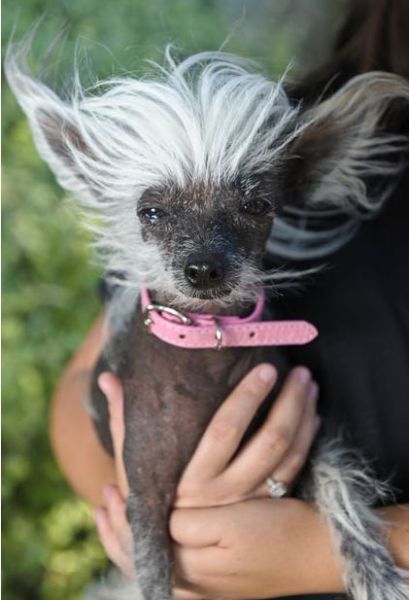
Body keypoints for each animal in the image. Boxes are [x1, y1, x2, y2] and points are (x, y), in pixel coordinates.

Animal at [5, 36, 408, 596]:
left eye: (257, 205)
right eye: (150, 212)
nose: (203, 270)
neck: (208, 343)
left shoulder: (309, 443)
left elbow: (340, 488)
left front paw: (374, 571)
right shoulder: (145, 495)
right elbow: (154, 576)